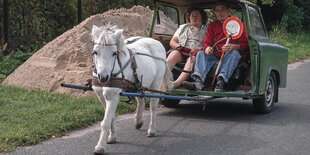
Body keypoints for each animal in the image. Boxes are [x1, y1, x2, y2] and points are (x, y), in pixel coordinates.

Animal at [91, 24, 173, 154]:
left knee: (153, 106)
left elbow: (106, 122)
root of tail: (156, 42)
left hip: (156, 82)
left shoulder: (112, 96)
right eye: (95, 52)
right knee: (141, 100)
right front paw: (112, 137)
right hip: (137, 85)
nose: (103, 77)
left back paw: (152, 130)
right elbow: (111, 117)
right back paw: (138, 121)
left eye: (114, 53)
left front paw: (100, 146)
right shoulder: (101, 96)